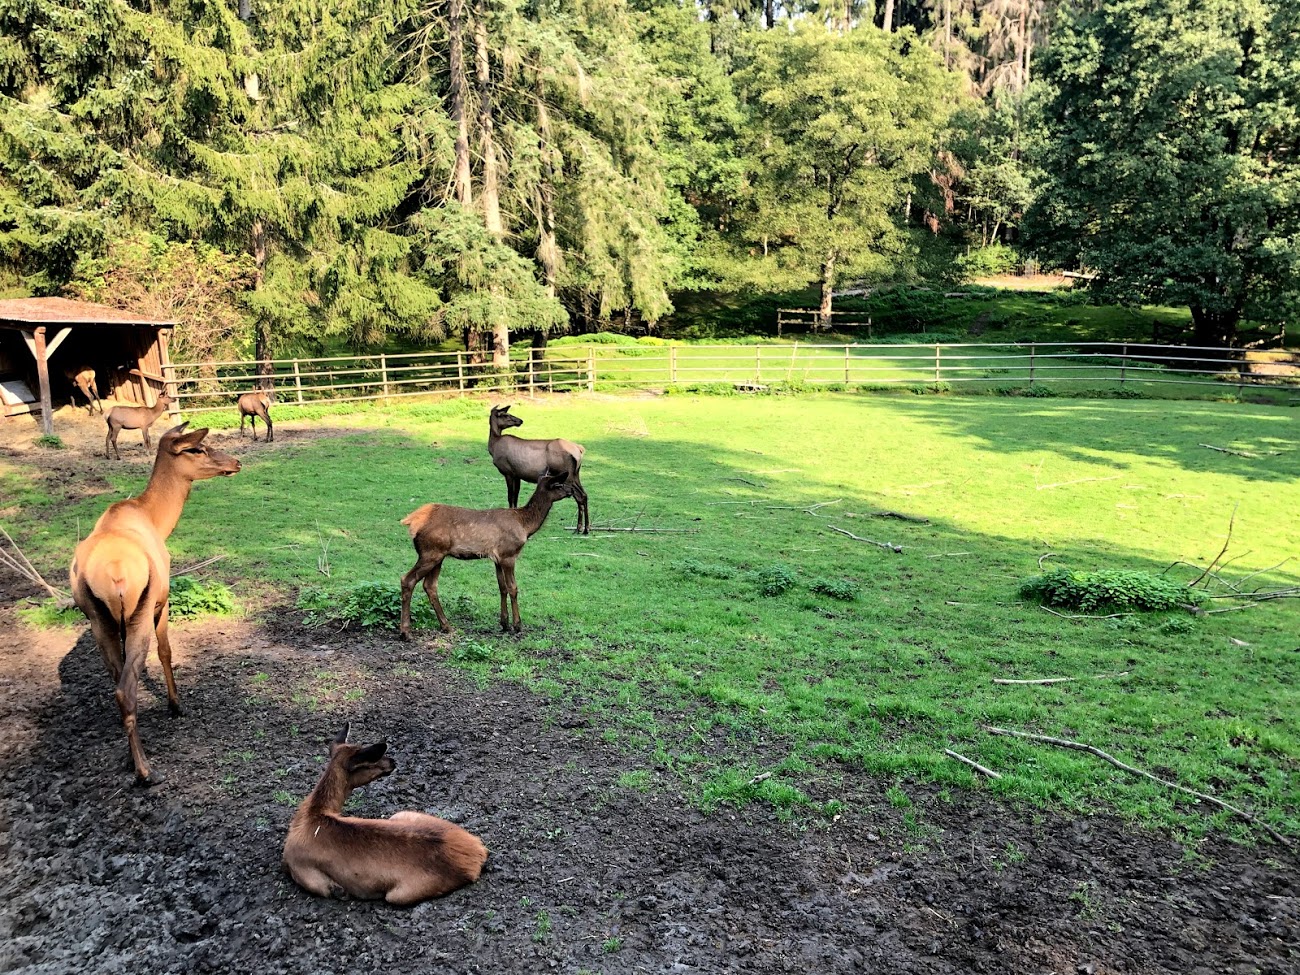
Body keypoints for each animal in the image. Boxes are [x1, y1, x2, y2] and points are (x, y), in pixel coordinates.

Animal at [69, 423, 240, 785]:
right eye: (197, 448)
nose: (236, 461)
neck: (158, 522)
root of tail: (113, 576)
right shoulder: (162, 601)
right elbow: (166, 652)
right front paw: (176, 705)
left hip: (98, 619)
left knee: (118, 683)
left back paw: (132, 756)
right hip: (140, 610)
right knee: (126, 688)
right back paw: (145, 770)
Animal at [282, 723, 488, 905]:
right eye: (370, 761)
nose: (392, 761)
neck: (312, 814)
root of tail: (478, 852)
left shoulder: (303, 871)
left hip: (398, 895)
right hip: (401, 815)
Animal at [399, 470, 576, 638]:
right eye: (559, 484)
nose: (572, 490)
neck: (525, 526)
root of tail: (411, 521)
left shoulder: (497, 558)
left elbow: (502, 587)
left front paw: (504, 623)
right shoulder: (508, 554)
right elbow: (513, 588)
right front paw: (517, 625)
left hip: (438, 555)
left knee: (430, 586)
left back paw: (446, 626)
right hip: (430, 552)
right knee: (407, 580)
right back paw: (406, 632)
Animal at [487, 404, 589, 534]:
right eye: (505, 414)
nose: (520, 421)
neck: (493, 446)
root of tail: (579, 449)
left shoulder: (508, 472)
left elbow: (510, 497)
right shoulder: (517, 474)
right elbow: (515, 496)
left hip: (567, 475)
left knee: (579, 496)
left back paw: (583, 528)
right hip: (576, 474)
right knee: (584, 495)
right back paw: (583, 527)